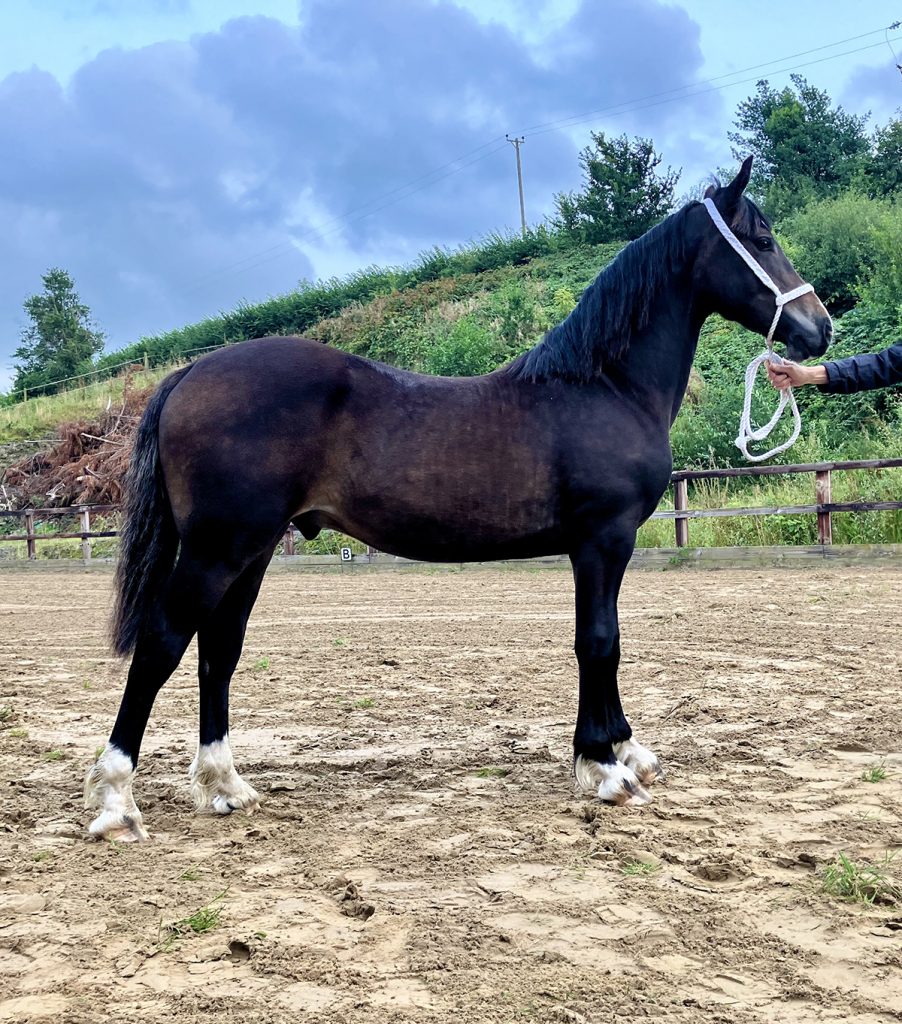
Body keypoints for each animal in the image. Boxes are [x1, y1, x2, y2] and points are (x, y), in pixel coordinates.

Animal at [84, 155, 831, 835]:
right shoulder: (602, 539)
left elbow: (606, 639)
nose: (819, 328)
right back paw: (117, 802)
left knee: (219, 650)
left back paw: (224, 784)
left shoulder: (601, 546)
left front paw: (623, 748)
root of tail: (188, 374)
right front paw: (603, 767)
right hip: (218, 548)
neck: (605, 386)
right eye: (762, 238)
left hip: (253, 549)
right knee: (163, 643)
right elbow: (599, 641)